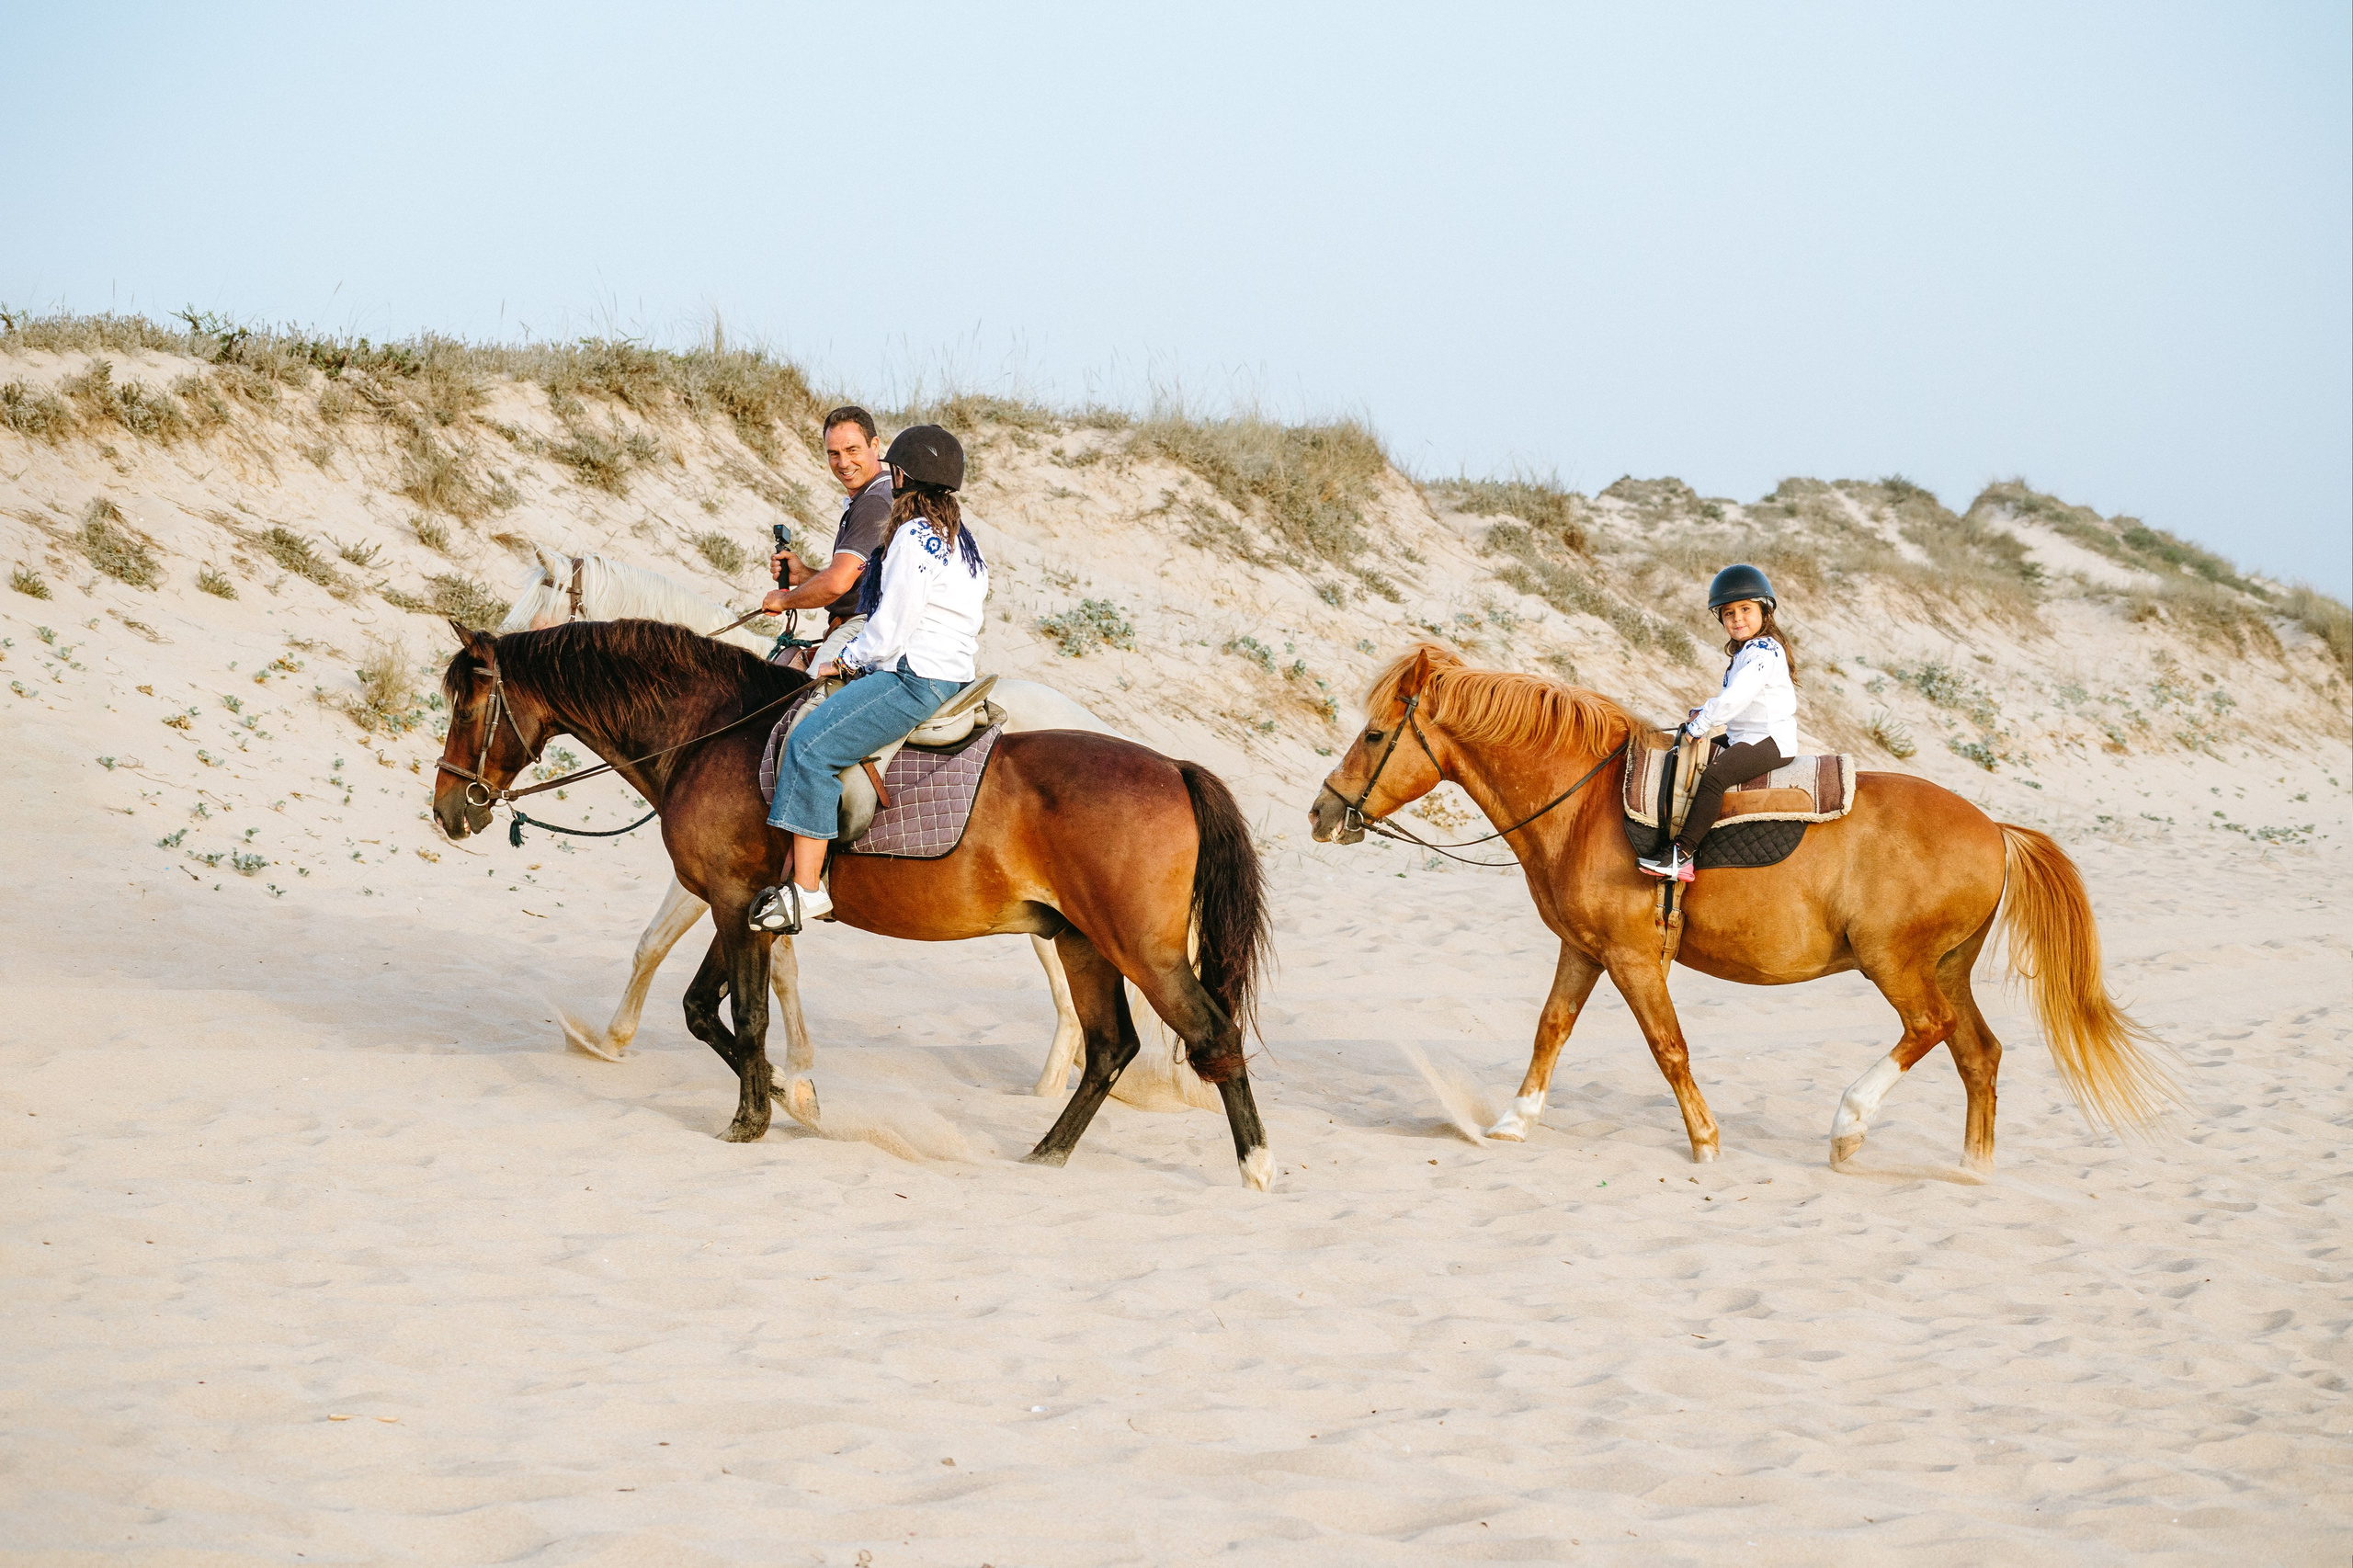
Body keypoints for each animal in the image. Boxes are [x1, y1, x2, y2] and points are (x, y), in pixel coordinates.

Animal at [431, 617, 1277, 1187]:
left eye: (467, 710)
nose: (449, 812)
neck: (712, 733)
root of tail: (1172, 766)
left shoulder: (732, 901)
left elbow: (746, 1012)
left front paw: (750, 1119)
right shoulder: (743, 906)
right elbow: (706, 1011)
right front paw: (786, 1093)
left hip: (1139, 947)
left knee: (1210, 1030)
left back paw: (1257, 1164)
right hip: (1081, 940)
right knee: (1109, 1048)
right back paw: (1047, 1153)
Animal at [495, 541, 1216, 1111]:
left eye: (536, 599)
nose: (493, 636)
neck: (722, 720)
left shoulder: (729, 879)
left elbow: (661, 945)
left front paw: (609, 1042)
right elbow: (765, 962)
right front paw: (789, 1070)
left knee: (1072, 1004)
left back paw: (1046, 1091)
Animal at [1307, 644, 2174, 1172]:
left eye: (1375, 734)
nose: (1321, 813)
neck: (1585, 804)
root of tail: (1996, 829)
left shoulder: (1632, 958)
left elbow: (1669, 1048)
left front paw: (1705, 1140)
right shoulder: (1584, 949)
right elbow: (1550, 1029)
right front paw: (1514, 1122)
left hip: (1896, 964)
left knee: (1928, 1031)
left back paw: (1849, 1126)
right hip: (1947, 967)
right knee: (1979, 1055)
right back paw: (1971, 1170)